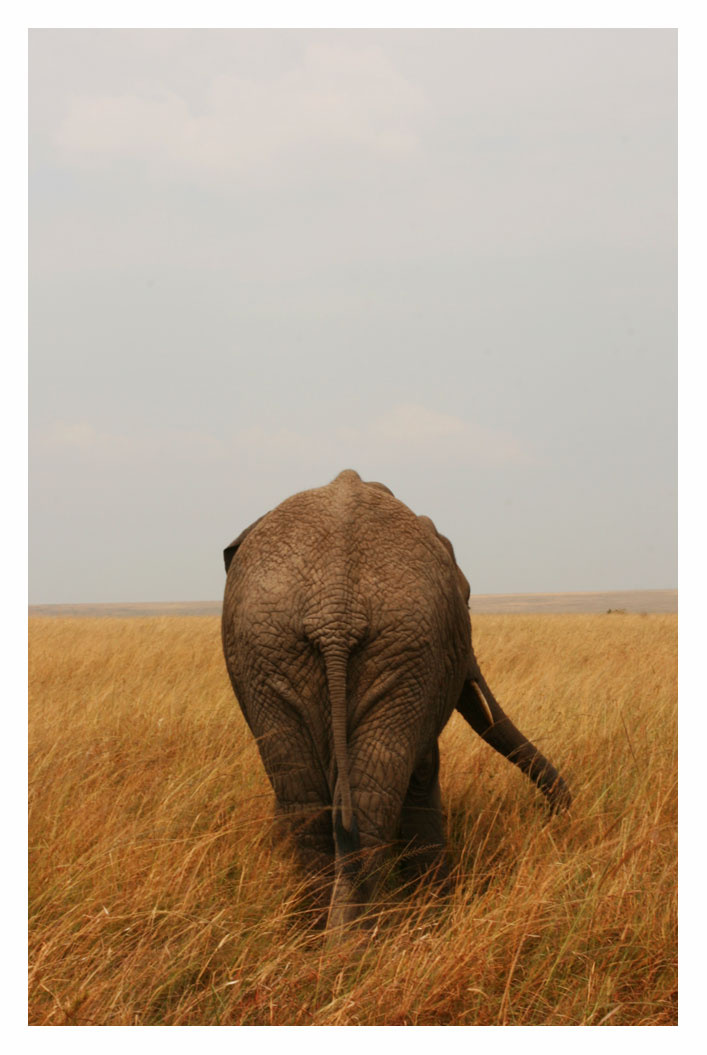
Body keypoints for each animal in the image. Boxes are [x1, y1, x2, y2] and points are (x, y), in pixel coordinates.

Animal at [221, 469, 570, 931]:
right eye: (468, 602)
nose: (554, 818)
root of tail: (336, 609)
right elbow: (423, 774)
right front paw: (436, 909)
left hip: (289, 646)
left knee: (312, 806)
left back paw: (319, 940)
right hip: (380, 646)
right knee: (363, 804)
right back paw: (350, 942)